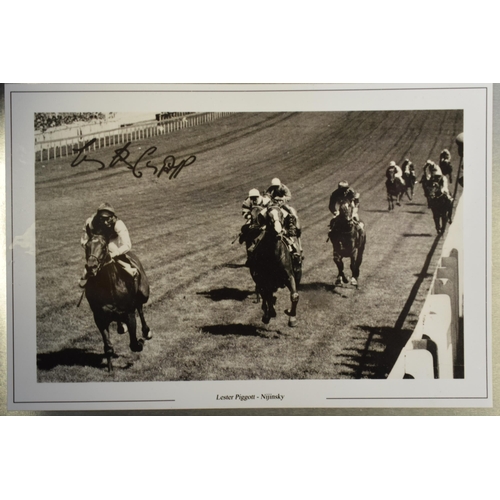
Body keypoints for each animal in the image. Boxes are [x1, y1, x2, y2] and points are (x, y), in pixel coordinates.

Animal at [84, 234, 151, 372]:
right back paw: (121, 327)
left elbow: (134, 344)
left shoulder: (129, 313)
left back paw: (146, 332)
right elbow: (108, 347)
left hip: (143, 293)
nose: (91, 266)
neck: (107, 285)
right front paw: (110, 369)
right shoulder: (99, 318)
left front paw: (141, 342)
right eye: (86, 246)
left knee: (140, 309)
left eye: (104, 247)